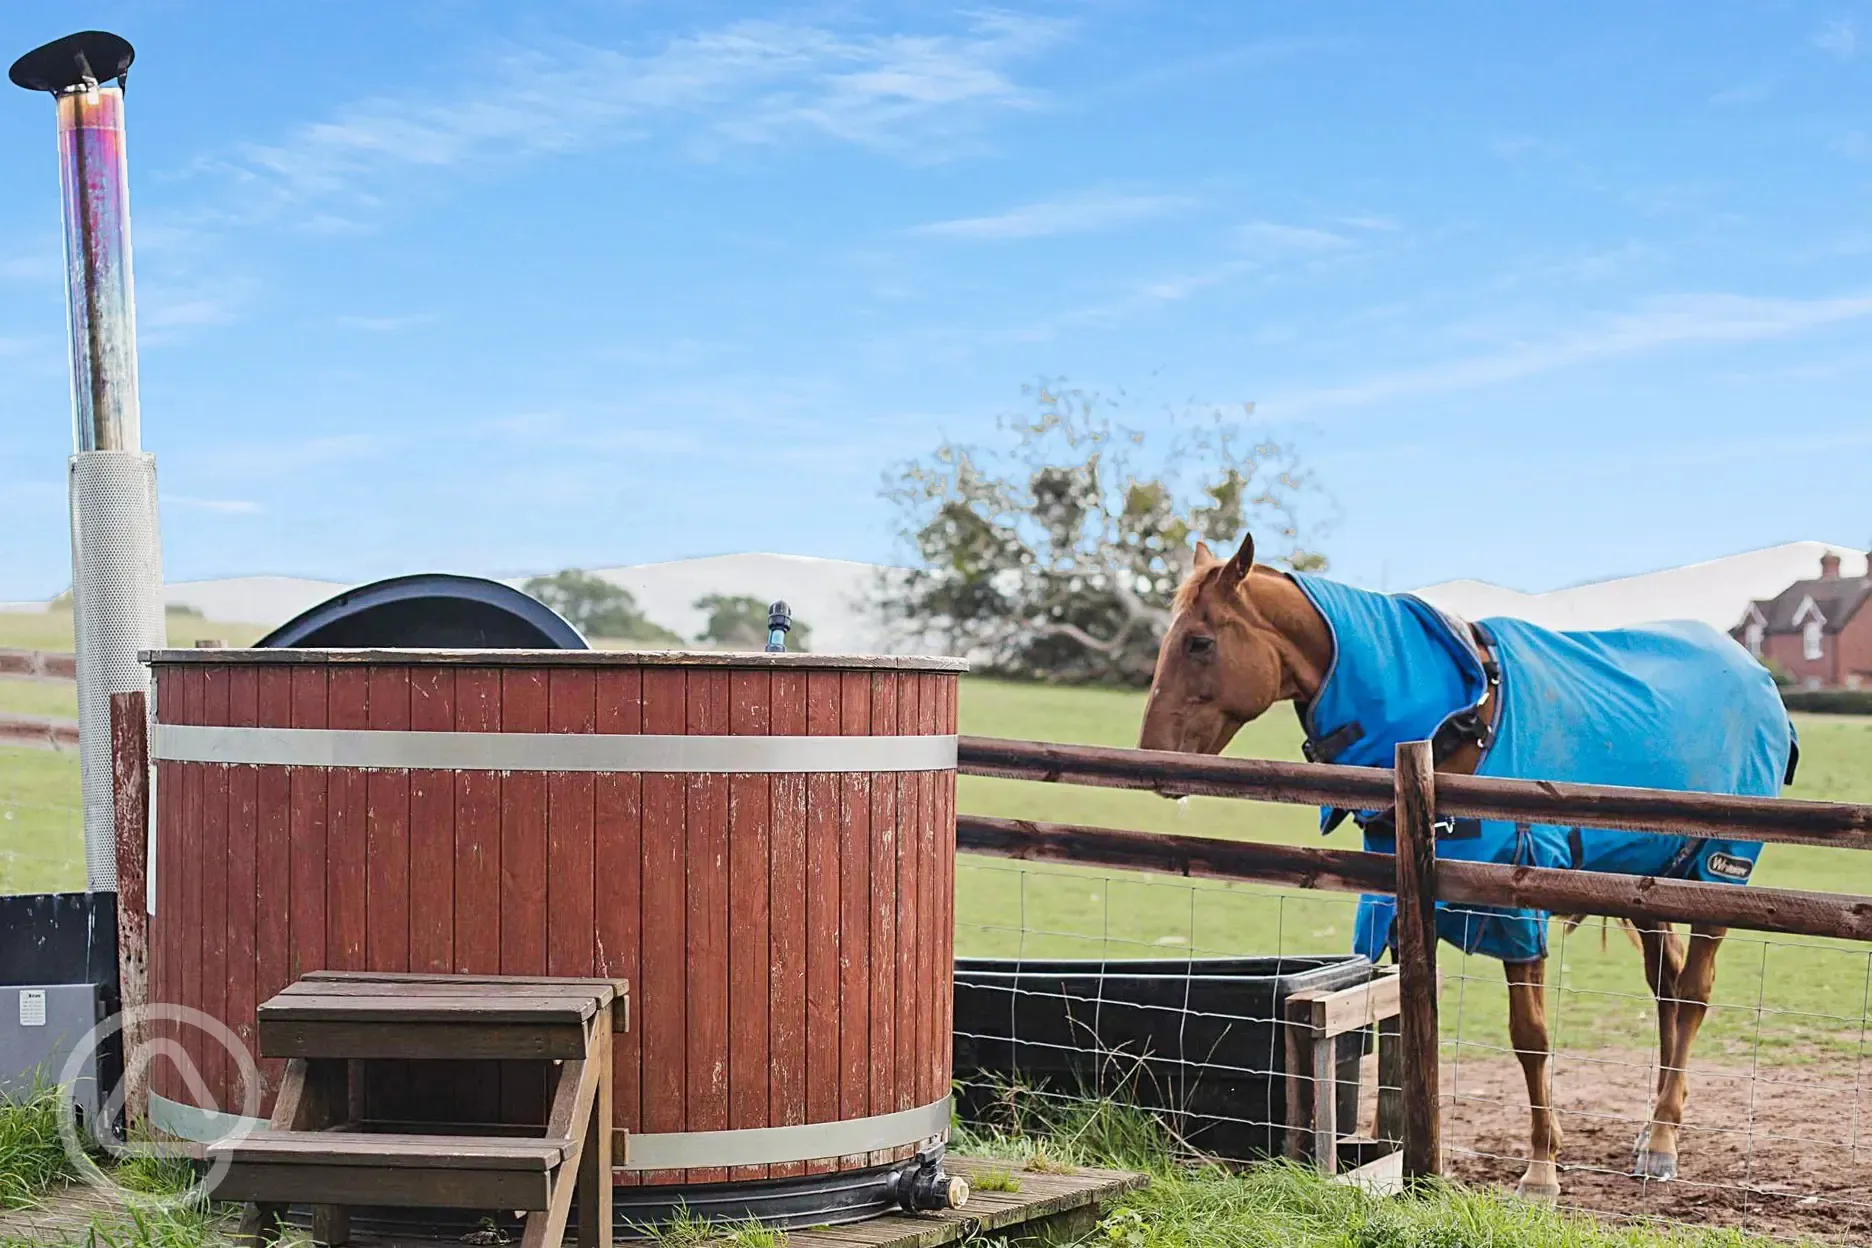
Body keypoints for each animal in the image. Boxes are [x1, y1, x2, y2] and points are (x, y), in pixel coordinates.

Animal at [1138, 535, 1737, 1197]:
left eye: (1199, 642)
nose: (1150, 755)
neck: (1455, 725)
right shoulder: (1396, 908)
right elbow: (1397, 1018)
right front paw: (1395, 1151)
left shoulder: (1517, 912)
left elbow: (1531, 1038)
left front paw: (1541, 1170)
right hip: (1647, 886)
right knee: (1667, 990)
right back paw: (1654, 1127)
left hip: (1716, 879)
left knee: (1694, 993)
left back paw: (1661, 1143)